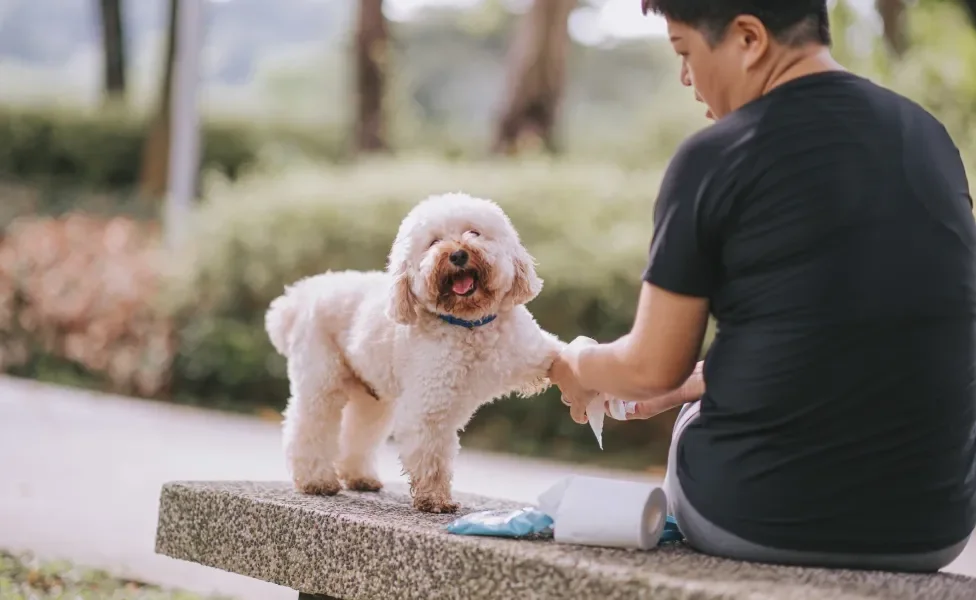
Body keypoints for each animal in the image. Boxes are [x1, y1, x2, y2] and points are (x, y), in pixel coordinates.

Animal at [266, 191, 572, 510]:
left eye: (474, 232)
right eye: (434, 242)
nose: (458, 254)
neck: (469, 325)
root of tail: (299, 296)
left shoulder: (530, 352)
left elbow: (558, 355)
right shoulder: (430, 408)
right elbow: (432, 457)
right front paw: (435, 498)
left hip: (372, 397)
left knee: (358, 432)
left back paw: (360, 476)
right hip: (321, 382)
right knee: (308, 428)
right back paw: (316, 480)